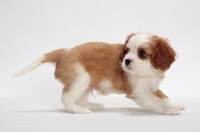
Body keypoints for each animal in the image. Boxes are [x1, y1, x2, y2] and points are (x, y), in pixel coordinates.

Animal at [14, 32, 186, 114]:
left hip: (85, 82)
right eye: (126, 51)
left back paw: (93, 105)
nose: (126, 61)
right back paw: (78, 110)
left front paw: (174, 104)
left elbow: (163, 97)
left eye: (142, 54)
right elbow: (155, 101)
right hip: (80, 79)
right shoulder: (138, 92)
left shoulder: (152, 87)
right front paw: (168, 110)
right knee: (66, 98)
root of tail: (64, 51)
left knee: (80, 98)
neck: (147, 72)